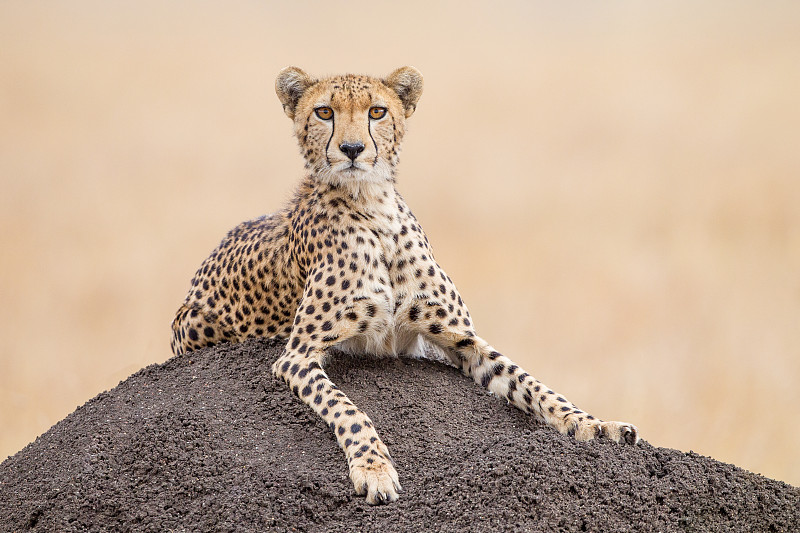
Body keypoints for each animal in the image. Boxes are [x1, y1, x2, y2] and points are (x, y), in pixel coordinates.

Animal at [172, 65, 640, 502]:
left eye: (377, 112)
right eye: (324, 112)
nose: (353, 149)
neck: (372, 206)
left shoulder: (458, 338)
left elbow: (529, 381)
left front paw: (596, 424)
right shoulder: (296, 356)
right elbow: (348, 409)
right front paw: (374, 468)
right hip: (194, 326)